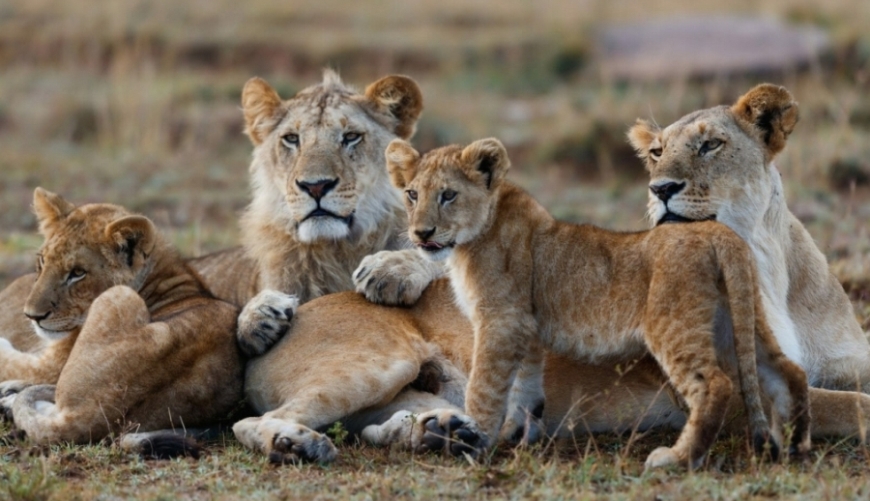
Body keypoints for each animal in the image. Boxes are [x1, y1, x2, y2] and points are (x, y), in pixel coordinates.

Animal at [0, 187, 244, 450]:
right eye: (43, 261)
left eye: (78, 273)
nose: (31, 316)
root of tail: (89, 416)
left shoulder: (52, 363)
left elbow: (14, 364)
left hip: (120, 295)